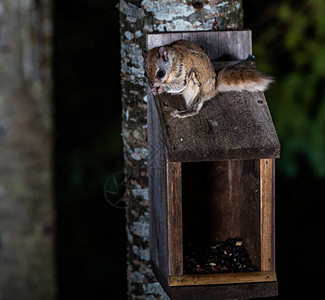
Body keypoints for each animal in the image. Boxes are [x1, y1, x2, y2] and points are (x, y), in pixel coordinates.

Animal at [142, 39, 274, 118]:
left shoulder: (182, 72)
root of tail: (213, 87)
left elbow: (179, 84)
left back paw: (182, 113)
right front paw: (154, 90)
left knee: (195, 109)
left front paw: (161, 88)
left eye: (160, 73)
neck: (173, 62)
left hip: (197, 90)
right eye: (145, 74)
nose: (152, 84)